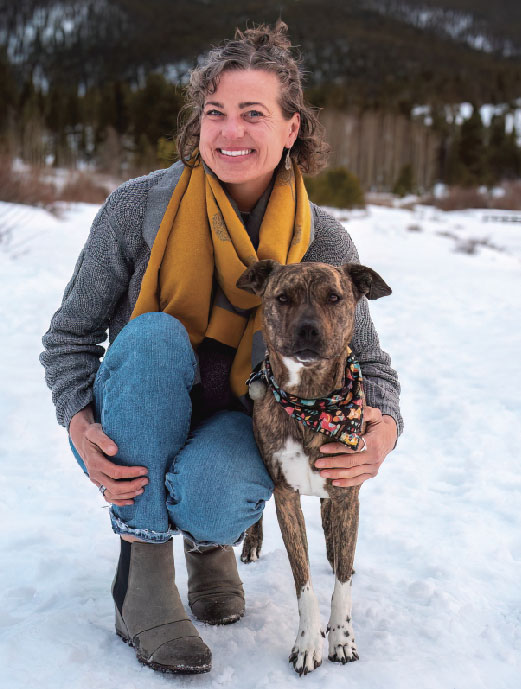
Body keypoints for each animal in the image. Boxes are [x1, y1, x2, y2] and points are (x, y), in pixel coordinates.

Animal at [236, 260, 390, 676]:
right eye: (283, 297)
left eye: (334, 297)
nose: (308, 329)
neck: (312, 402)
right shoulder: (285, 496)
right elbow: (302, 581)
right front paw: (308, 644)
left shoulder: (347, 490)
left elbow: (343, 583)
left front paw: (341, 639)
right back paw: (253, 543)